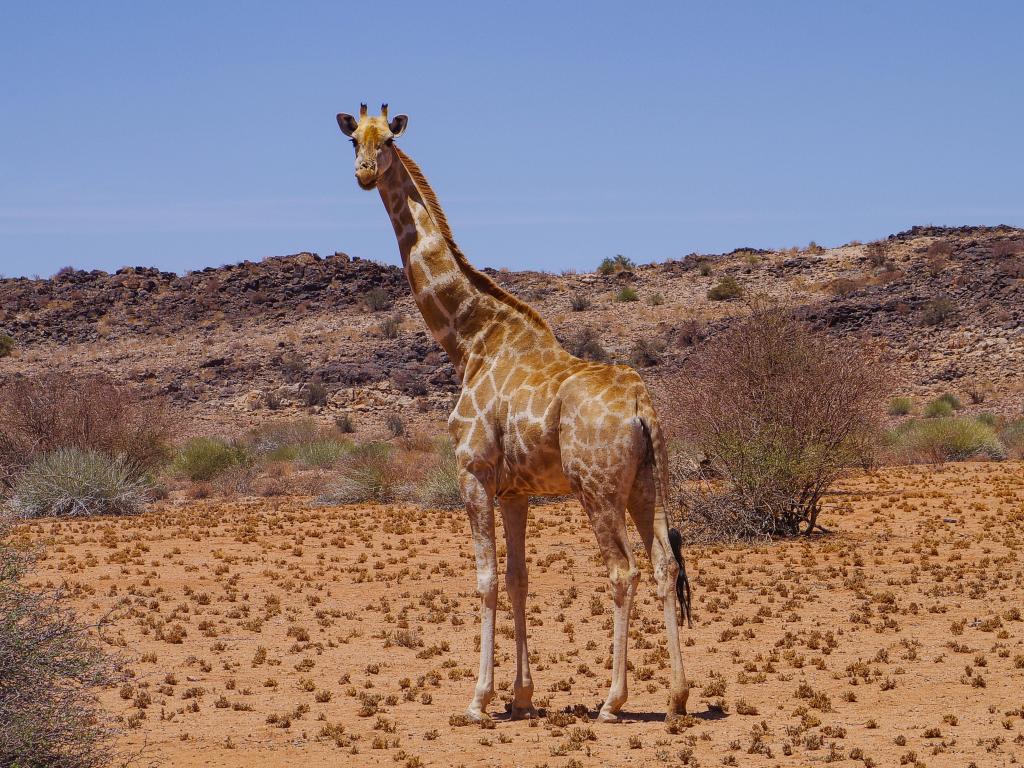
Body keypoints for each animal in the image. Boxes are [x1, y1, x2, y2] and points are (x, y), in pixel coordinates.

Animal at [339, 105, 692, 724]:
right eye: (352, 139)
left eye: (388, 142)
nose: (362, 173)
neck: (470, 341)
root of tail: (641, 406)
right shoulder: (515, 490)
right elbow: (518, 578)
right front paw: (521, 695)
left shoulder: (473, 470)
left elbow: (484, 579)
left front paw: (478, 699)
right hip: (648, 481)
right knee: (663, 565)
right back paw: (676, 697)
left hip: (597, 486)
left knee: (621, 570)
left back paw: (612, 701)